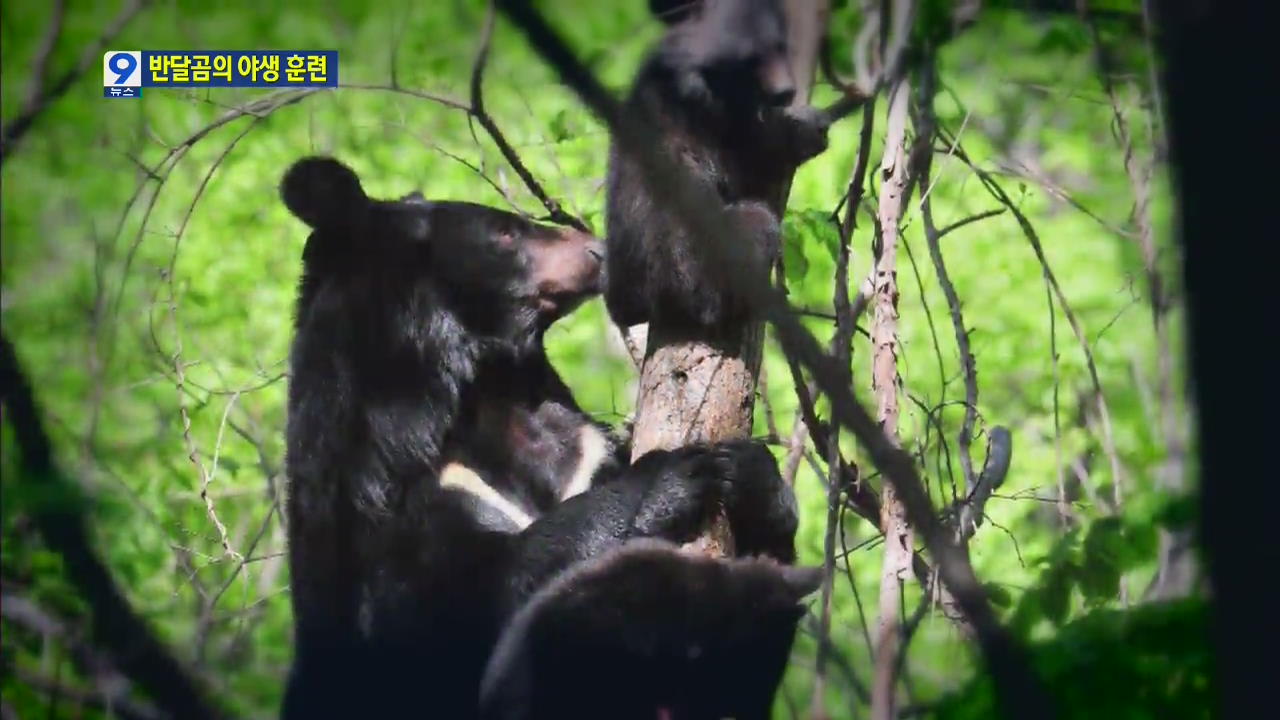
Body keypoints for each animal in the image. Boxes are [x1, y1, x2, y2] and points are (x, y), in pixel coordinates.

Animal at [281, 158, 814, 717]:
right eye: (505, 232)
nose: (596, 250)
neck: (482, 388)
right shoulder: (378, 525)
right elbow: (475, 601)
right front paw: (674, 475)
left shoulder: (578, 445)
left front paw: (753, 478)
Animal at [604, 0, 834, 330]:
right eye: (751, 60)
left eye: (780, 45)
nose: (785, 91)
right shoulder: (706, 121)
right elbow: (753, 155)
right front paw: (806, 128)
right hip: (693, 263)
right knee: (752, 226)